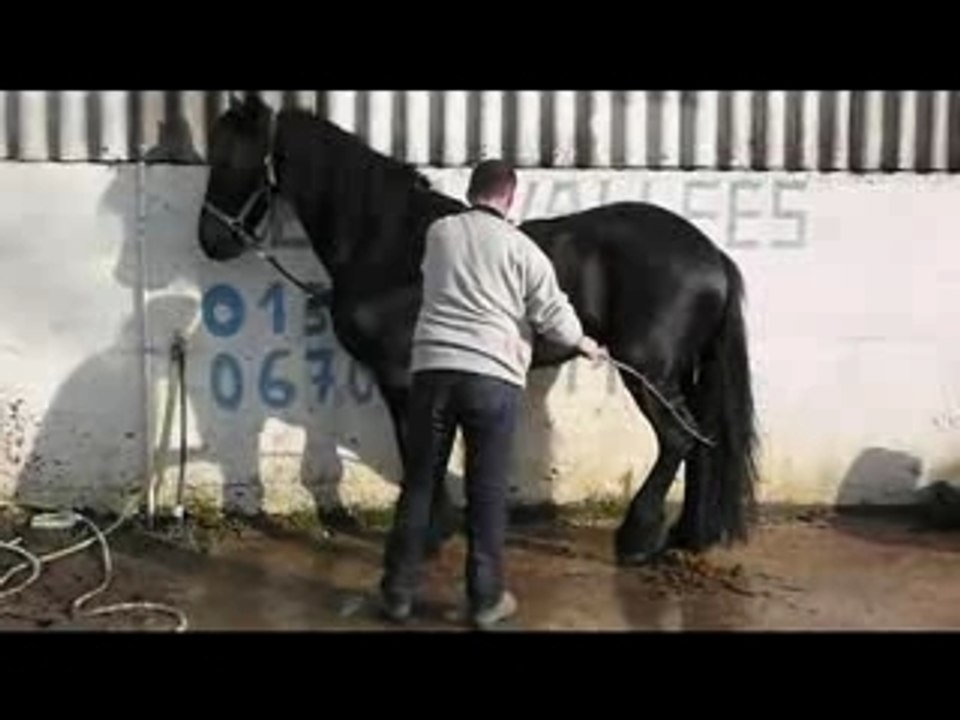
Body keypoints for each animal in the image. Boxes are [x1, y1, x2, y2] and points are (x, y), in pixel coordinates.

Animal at [196, 93, 759, 565]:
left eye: (234, 159)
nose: (211, 241)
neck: (391, 245)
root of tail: (711, 254)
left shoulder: (401, 376)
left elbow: (419, 450)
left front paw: (427, 535)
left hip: (648, 370)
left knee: (677, 440)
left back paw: (636, 541)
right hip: (680, 371)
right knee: (702, 441)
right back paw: (686, 536)